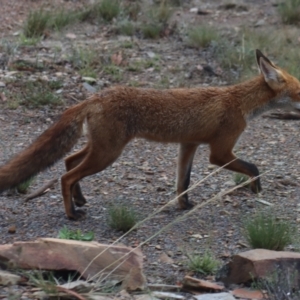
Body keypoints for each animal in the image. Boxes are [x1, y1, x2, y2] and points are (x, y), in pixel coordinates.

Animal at [0, 49, 300, 220]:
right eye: (299, 91)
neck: (240, 102)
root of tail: (96, 96)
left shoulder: (188, 145)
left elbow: (183, 182)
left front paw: (183, 206)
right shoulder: (220, 152)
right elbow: (253, 167)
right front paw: (256, 188)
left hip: (100, 148)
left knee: (69, 161)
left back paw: (80, 199)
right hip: (108, 153)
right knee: (66, 175)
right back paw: (72, 214)